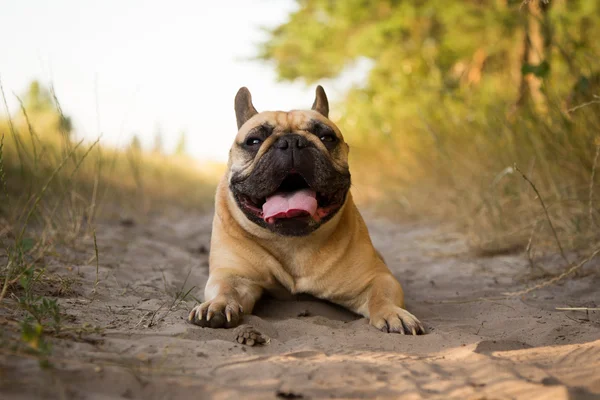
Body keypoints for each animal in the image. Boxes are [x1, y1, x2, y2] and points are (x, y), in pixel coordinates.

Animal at [190, 86, 424, 334]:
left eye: (326, 138)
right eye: (254, 141)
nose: (292, 142)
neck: (292, 242)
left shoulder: (376, 277)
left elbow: (382, 294)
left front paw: (393, 313)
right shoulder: (233, 275)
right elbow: (225, 288)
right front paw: (218, 304)